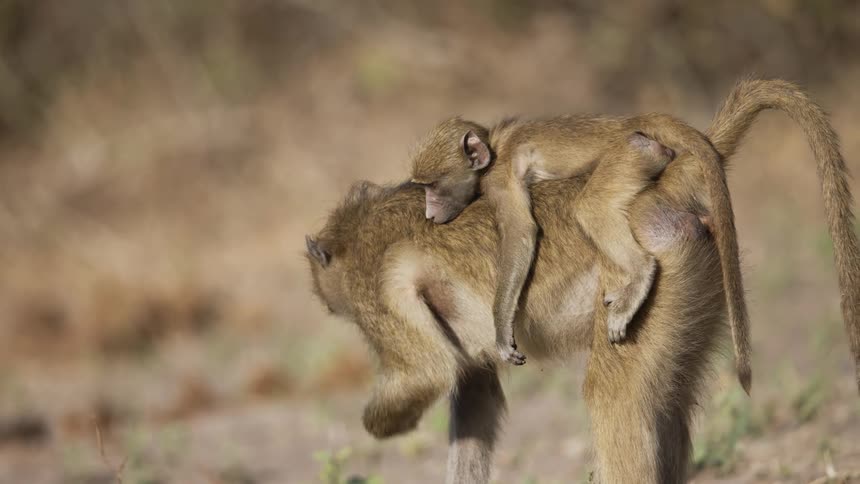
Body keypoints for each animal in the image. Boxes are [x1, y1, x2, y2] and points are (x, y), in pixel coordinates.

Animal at [410, 111, 751, 396]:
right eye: (423, 187)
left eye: (432, 186)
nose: (429, 215)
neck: (494, 147)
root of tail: (633, 120)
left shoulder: (499, 179)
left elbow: (521, 234)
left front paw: (501, 331)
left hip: (633, 155)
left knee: (590, 206)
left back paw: (639, 275)